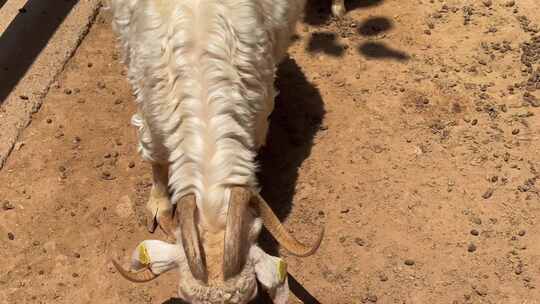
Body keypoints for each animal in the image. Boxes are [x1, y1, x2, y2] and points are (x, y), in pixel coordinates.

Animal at [107, 0, 322, 302]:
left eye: (251, 295)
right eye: (185, 298)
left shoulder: (258, 117)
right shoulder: (151, 111)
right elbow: (156, 157)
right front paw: (159, 204)